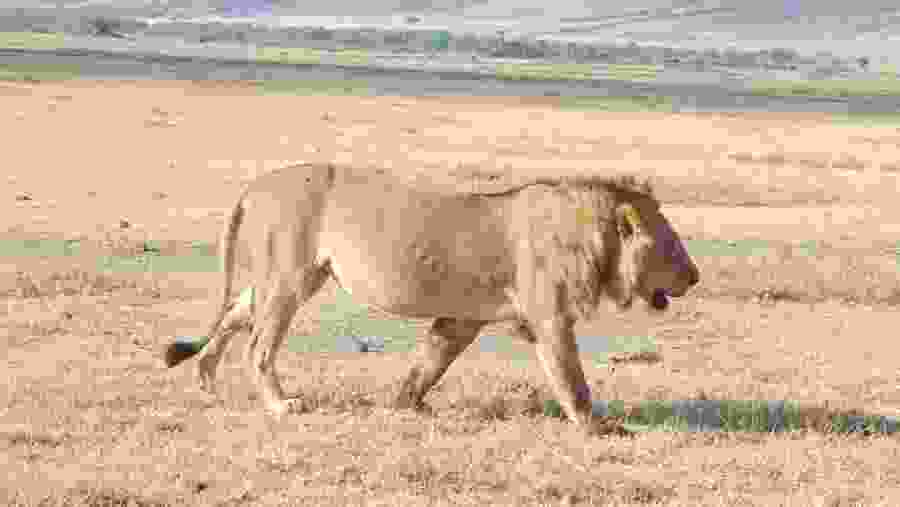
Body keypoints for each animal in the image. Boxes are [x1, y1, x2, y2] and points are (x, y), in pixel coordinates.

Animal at [163, 162, 699, 434]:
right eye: (673, 244)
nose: (694, 277)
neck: (594, 238)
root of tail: (256, 183)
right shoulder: (550, 318)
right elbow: (572, 380)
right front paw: (596, 428)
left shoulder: (463, 319)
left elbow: (429, 362)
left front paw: (404, 405)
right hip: (289, 277)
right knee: (258, 345)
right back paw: (280, 406)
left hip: (288, 276)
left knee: (234, 315)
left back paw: (206, 381)